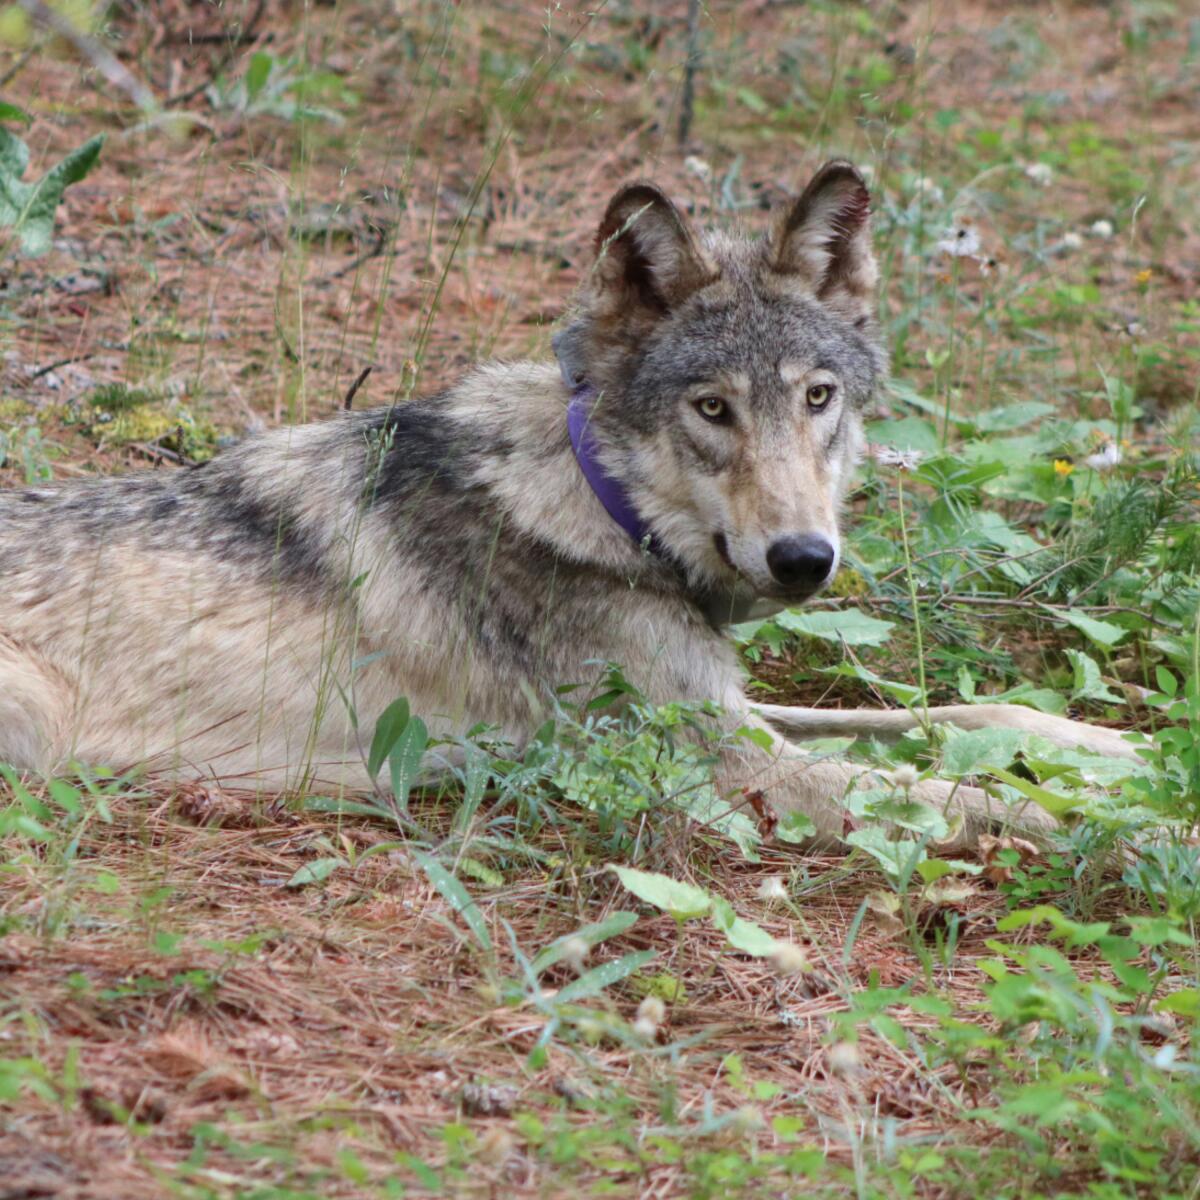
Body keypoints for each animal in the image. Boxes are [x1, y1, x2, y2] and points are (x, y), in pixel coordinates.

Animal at [0, 162, 1132, 844]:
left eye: (818, 398)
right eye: (712, 409)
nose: (805, 559)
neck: (601, 511)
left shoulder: (723, 707)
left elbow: (968, 715)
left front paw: (1124, 751)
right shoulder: (729, 762)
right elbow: (970, 795)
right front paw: (1149, 829)